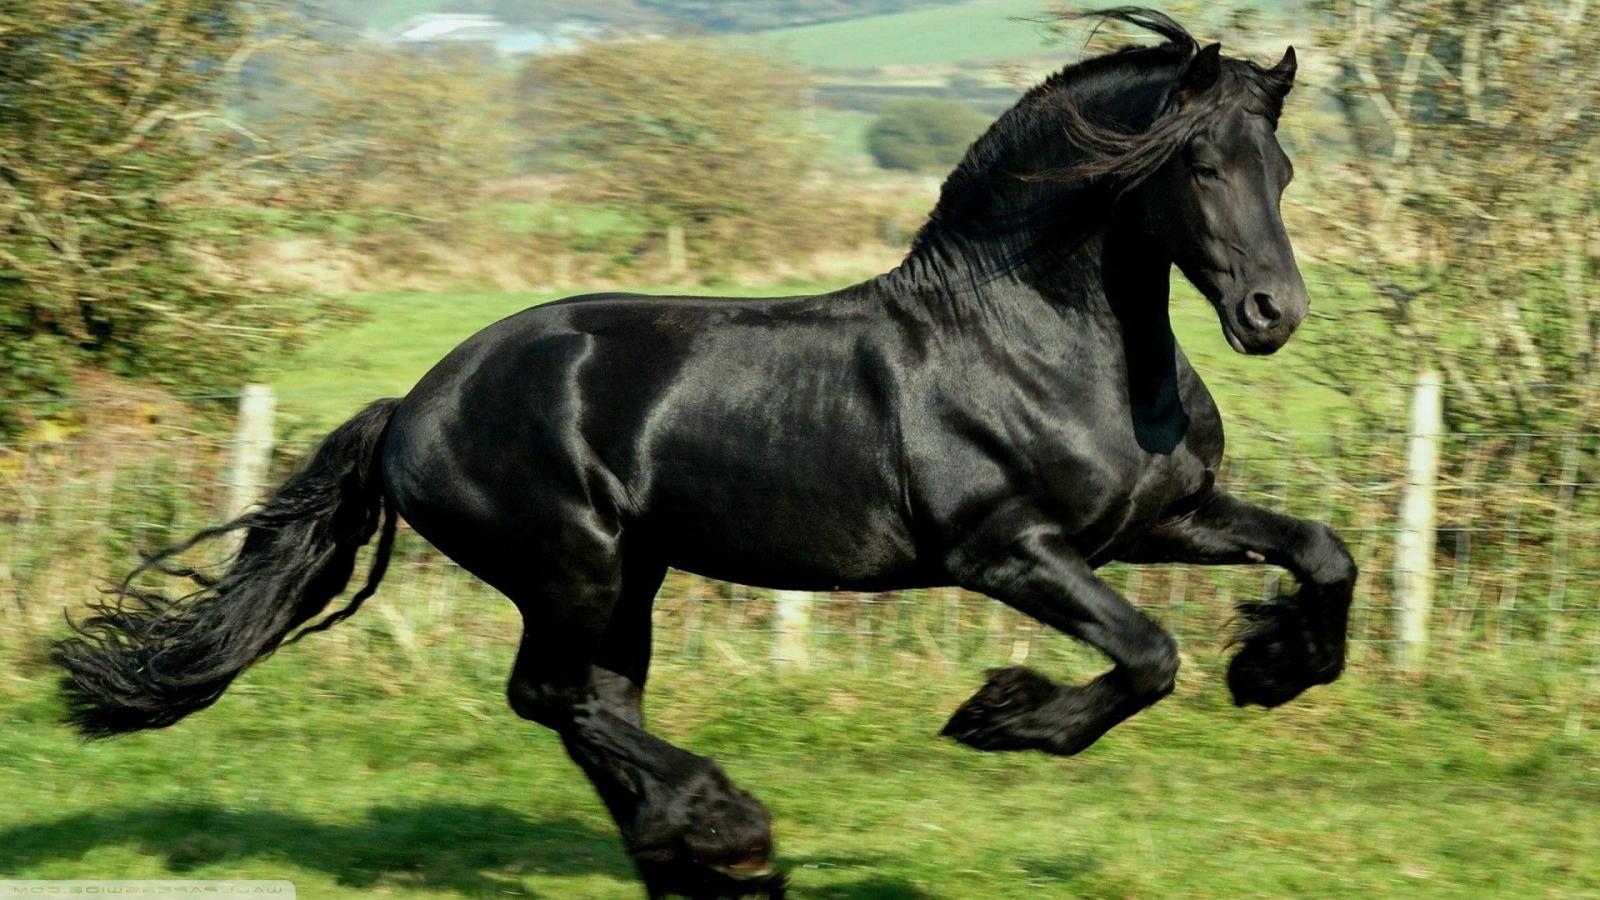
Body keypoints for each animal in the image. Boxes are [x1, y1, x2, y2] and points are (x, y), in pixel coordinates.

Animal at [54, 9, 1356, 898]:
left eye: (1283, 168)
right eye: (1198, 166)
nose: (1270, 315)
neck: (1035, 339)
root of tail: (416, 401)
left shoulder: (1157, 520)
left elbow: (1321, 552)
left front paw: (1274, 669)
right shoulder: (1007, 553)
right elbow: (1145, 656)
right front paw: (1000, 719)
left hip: (629, 576)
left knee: (591, 705)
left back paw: (694, 860)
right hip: (570, 565)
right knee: (553, 696)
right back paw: (729, 831)